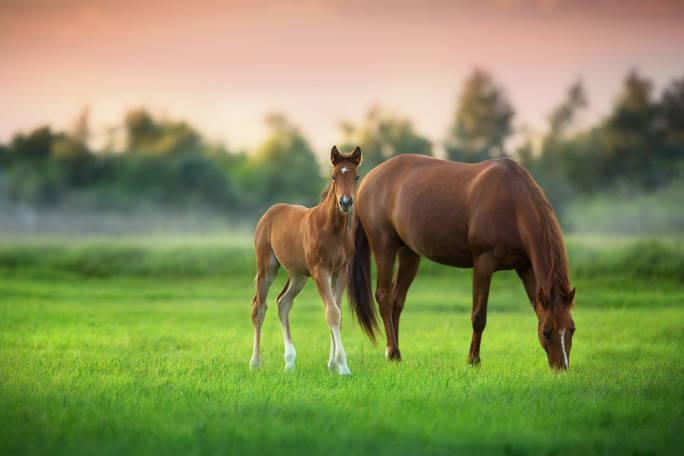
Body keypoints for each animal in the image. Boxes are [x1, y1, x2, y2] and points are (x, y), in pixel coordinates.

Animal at [250, 146, 362, 375]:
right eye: (334, 176)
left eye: (356, 176)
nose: (345, 202)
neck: (332, 229)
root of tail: (270, 211)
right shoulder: (321, 271)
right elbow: (332, 313)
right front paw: (343, 367)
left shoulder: (340, 273)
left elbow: (338, 314)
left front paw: (332, 365)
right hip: (267, 266)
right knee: (259, 307)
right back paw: (255, 363)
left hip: (298, 275)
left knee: (283, 303)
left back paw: (289, 363)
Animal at [347, 154, 576, 370]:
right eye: (546, 332)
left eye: (572, 330)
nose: (561, 367)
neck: (513, 203)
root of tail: (367, 179)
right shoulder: (483, 262)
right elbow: (479, 316)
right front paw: (473, 360)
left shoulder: (525, 267)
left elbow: (536, 309)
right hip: (384, 247)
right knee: (385, 298)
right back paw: (393, 352)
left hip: (409, 253)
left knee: (397, 300)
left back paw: (394, 353)